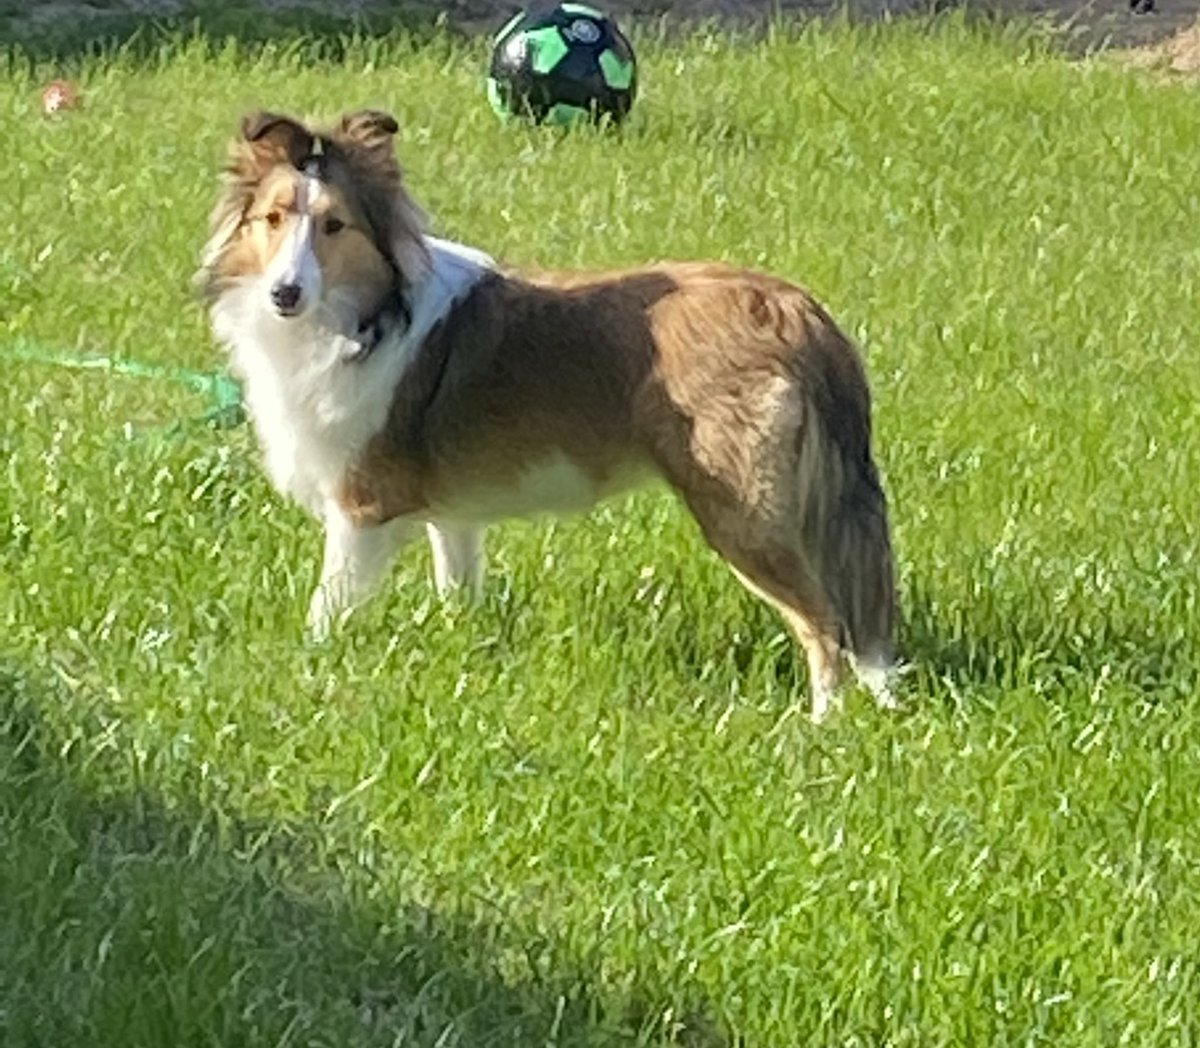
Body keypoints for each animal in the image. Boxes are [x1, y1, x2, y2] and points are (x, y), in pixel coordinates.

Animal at [196, 108, 897, 720]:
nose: (284, 293)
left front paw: (308, 670)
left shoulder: (361, 511)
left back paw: (821, 725)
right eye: (273, 218)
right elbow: (458, 587)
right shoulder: (451, 514)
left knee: (826, 622)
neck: (368, 316)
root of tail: (798, 312)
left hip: (742, 513)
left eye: (335, 225)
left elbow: (328, 606)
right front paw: (463, 651)